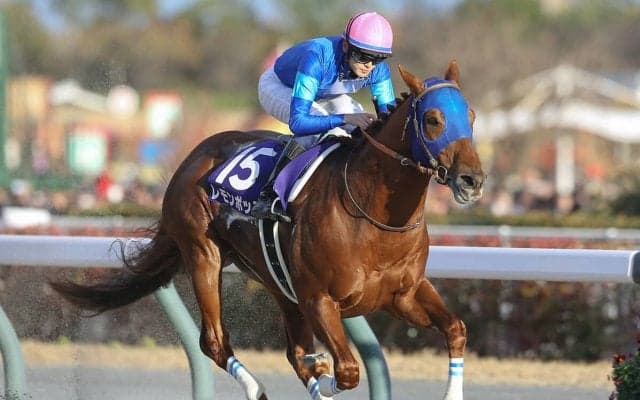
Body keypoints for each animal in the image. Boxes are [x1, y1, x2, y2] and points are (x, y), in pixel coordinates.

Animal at [52, 61, 485, 400]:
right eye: (433, 120)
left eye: (472, 116)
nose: (472, 180)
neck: (377, 221)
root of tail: (193, 156)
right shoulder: (319, 300)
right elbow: (347, 370)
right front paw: (324, 370)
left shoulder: (404, 295)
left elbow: (456, 329)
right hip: (203, 254)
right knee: (214, 341)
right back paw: (258, 387)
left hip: (276, 280)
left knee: (291, 352)